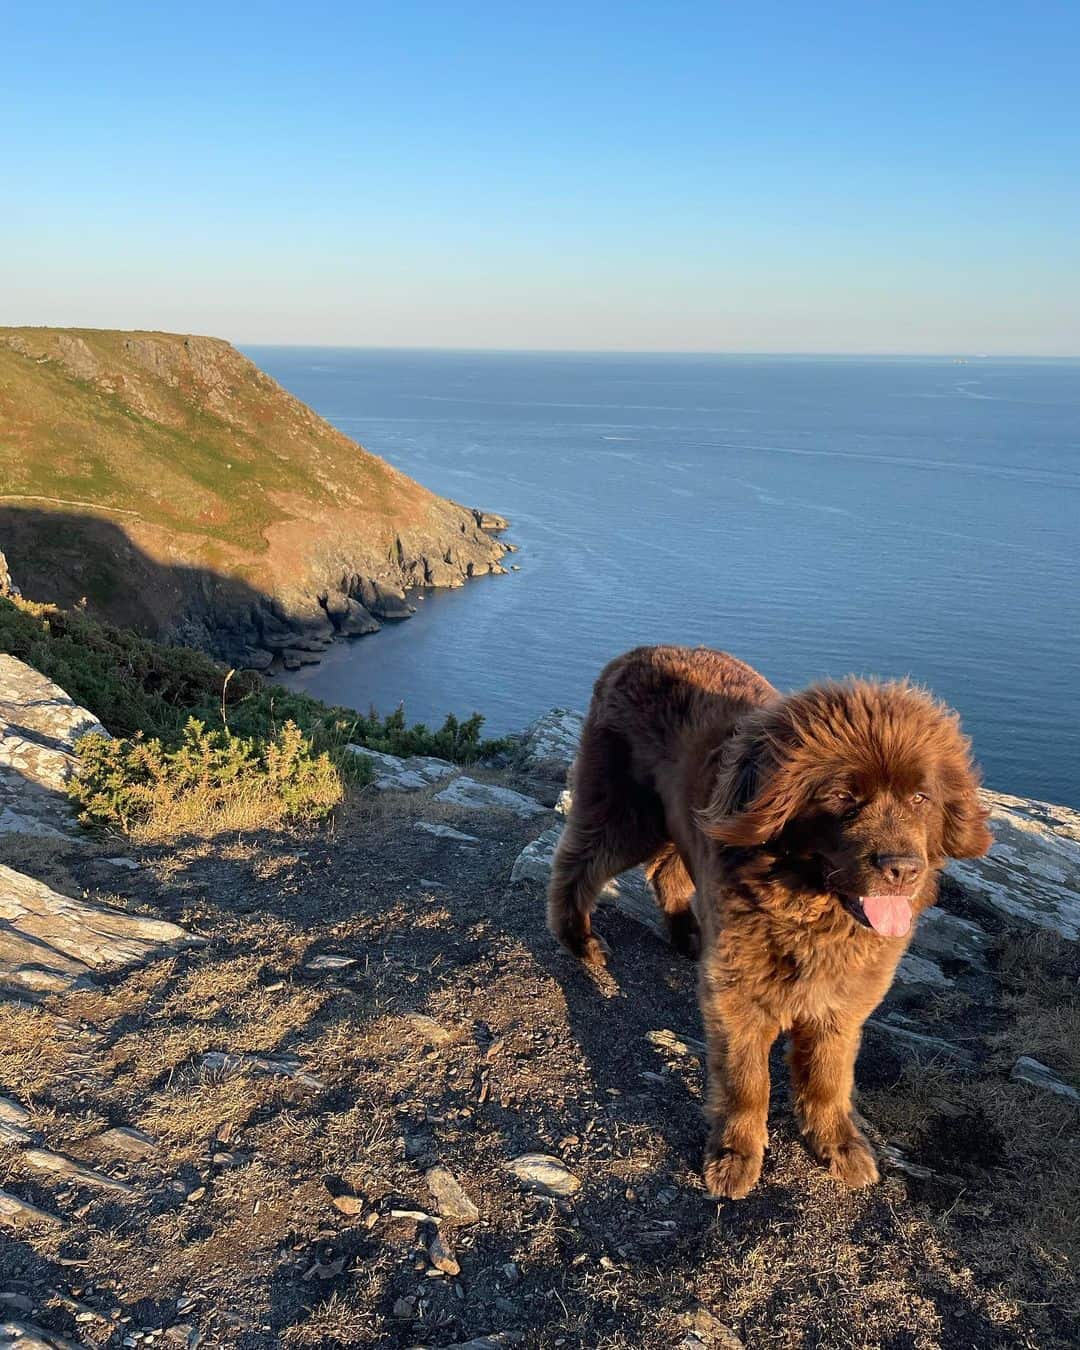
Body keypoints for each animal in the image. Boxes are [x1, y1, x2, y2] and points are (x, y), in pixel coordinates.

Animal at [548, 648, 993, 1198]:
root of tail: (633, 653)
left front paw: (838, 1146)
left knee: (667, 870)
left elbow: (828, 1077)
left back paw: (686, 936)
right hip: (627, 811)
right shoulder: (737, 993)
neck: (811, 914)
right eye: (842, 796)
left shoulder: (842, 1002)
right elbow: (746, 1080)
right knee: (577, 863)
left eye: (920, 798)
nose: (902, 869)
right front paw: (735, 1156)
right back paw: (578, 940)